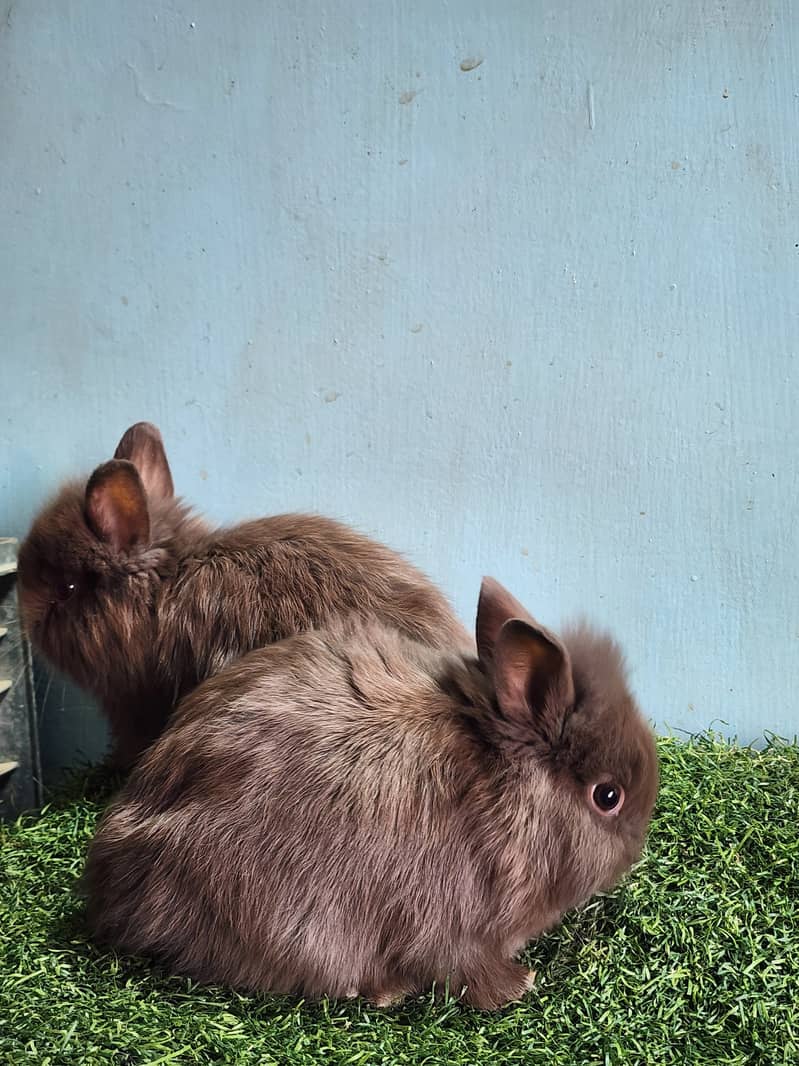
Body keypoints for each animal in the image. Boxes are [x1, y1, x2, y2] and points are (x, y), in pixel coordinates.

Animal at [82, 576, 659, 1010]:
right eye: (608, 797)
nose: (636, 851)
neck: (506, 787)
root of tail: (109, 878)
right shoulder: (450, 922)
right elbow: (467, 970)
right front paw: (518, 986)